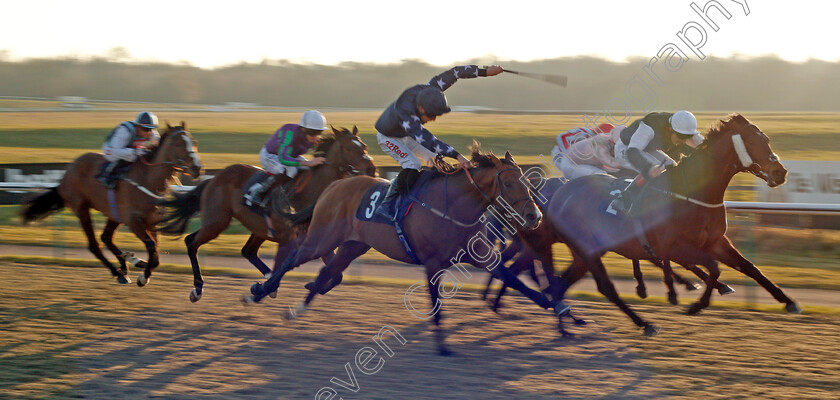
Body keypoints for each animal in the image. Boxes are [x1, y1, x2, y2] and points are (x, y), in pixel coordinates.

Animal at [20, 122, 202, 284]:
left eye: (194, 142)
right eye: (178, 143)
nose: (197, 168)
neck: (148, 180)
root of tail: (66, 175)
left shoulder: (152, 221)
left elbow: (156, 254)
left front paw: (141, 268)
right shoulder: (133, 221)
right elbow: (151, 247)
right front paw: (143, 277)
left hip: (113, 214)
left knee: (106, 237)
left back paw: (128, 262)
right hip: (82, 209)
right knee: (94, 245)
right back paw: (118, 272)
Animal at [158, 126, 374, 302]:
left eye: (364, 146)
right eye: (349, 148)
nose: (371, 168)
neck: (310, 193)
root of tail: (214, 177)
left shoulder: (316, 240)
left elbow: (337, 275)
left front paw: (310, 285)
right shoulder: (289, 239)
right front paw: (262, 288)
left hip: (257, 228)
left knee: (248, 251)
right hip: (216, 221)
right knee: (191, 242)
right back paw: (197, 288)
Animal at [244, 145, 556, 354]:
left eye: (527, 182)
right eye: (508, 183)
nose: (535, 216)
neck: (453, 206)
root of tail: (334, 185)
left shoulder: (480, 256)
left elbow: (513, 279)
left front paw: (555, 306)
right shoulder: (433, 263)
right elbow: (436, 303)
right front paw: (442, 346)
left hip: (353, 245)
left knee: (327, 271)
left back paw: (296, 309)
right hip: (323, 237)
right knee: (293, 259)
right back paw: (259, 291)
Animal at [544, 112, 796, 334]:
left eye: (766, 139)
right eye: (752, 142)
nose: (780, 172)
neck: (693, 193)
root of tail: (559, 195)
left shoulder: (716, 242)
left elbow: (749, 267)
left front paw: (787, 300)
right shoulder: (676, 248)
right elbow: (714, 268)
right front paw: (696, 305)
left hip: (584, 254)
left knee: (561, 283)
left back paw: (567, 323)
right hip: (588, 250)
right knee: (605, 287)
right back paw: (645, 324)